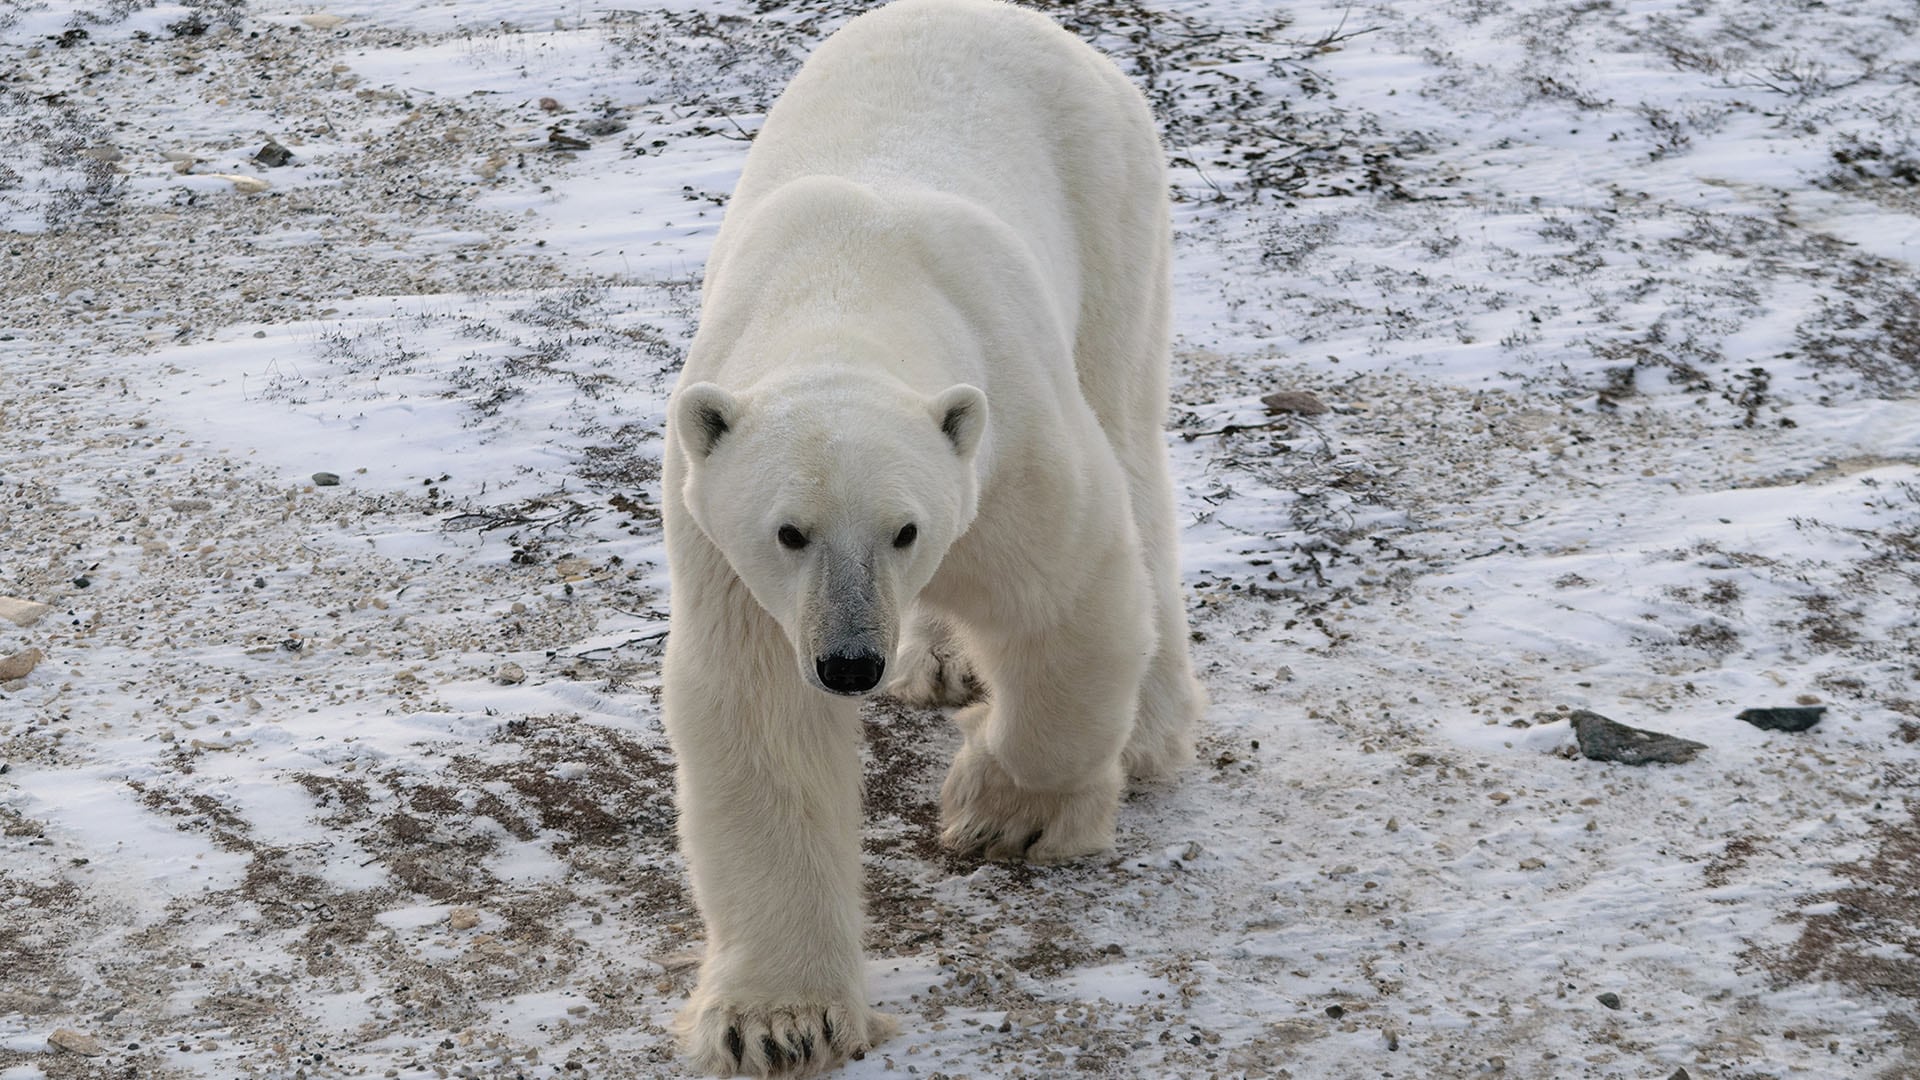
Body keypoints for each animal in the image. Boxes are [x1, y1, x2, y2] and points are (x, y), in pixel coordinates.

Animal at [659, 0, 1206, 1074]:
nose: (849, 663)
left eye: (905, 528)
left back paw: (1148, 728)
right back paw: (937, 663)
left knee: (1131, 447)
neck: (851, 286)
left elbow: (1068, 603)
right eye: (789, 531)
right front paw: (777, 1022)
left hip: (1115, 214)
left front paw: (1006, 813)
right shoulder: (725, 547)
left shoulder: (1010, 445)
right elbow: (759, 717)